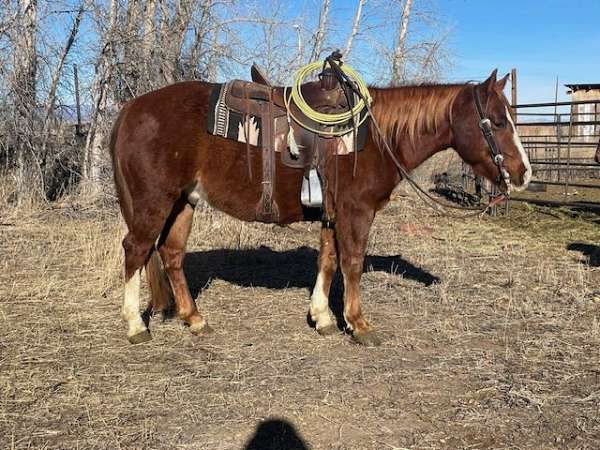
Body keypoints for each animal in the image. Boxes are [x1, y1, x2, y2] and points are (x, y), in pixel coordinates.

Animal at [111, 69, 528, 344]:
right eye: (496, 121)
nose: (523, 173)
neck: (377, 136)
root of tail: (131, 108)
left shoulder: (332, 214)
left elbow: (327, 262)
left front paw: (323, 317)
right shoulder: (356, 212)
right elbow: (353, 263)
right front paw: (358, 324)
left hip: (184, 202)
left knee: (171, 254)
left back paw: (195, 318)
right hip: (155, 202)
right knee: (136, 250)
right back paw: (136, 325)